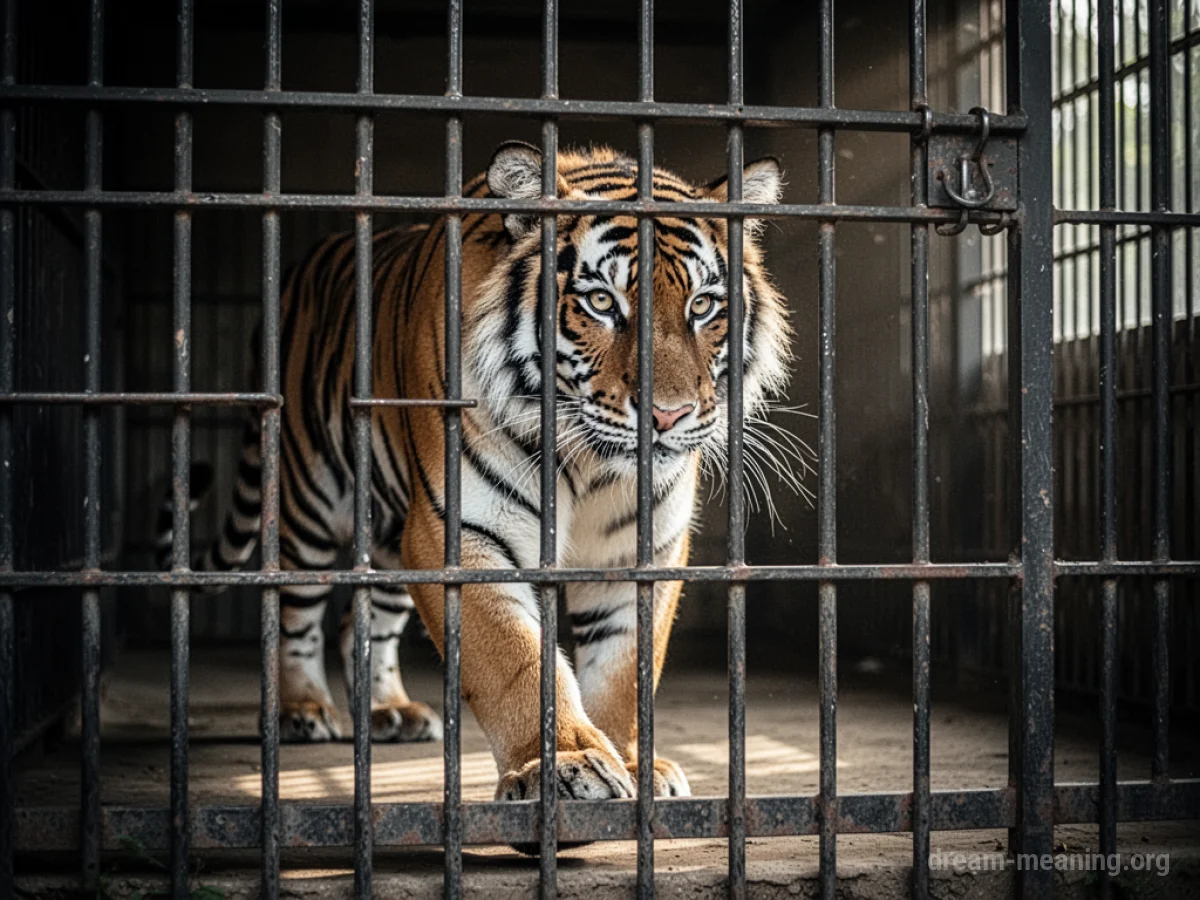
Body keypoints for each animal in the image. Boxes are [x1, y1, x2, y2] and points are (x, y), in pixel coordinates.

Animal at [158, 141, 790, 801]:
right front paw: (563, 763)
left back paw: (390, 712)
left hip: (394, 535)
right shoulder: (463, 534)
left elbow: (626, 670)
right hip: (309, 499)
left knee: (366, 622)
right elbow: (516, 660)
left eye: (703, 306)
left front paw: (637, 765)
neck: (594, 468)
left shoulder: (641, 551)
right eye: (601, 303)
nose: (670, 415)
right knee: (296, 613)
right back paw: (303, 709)